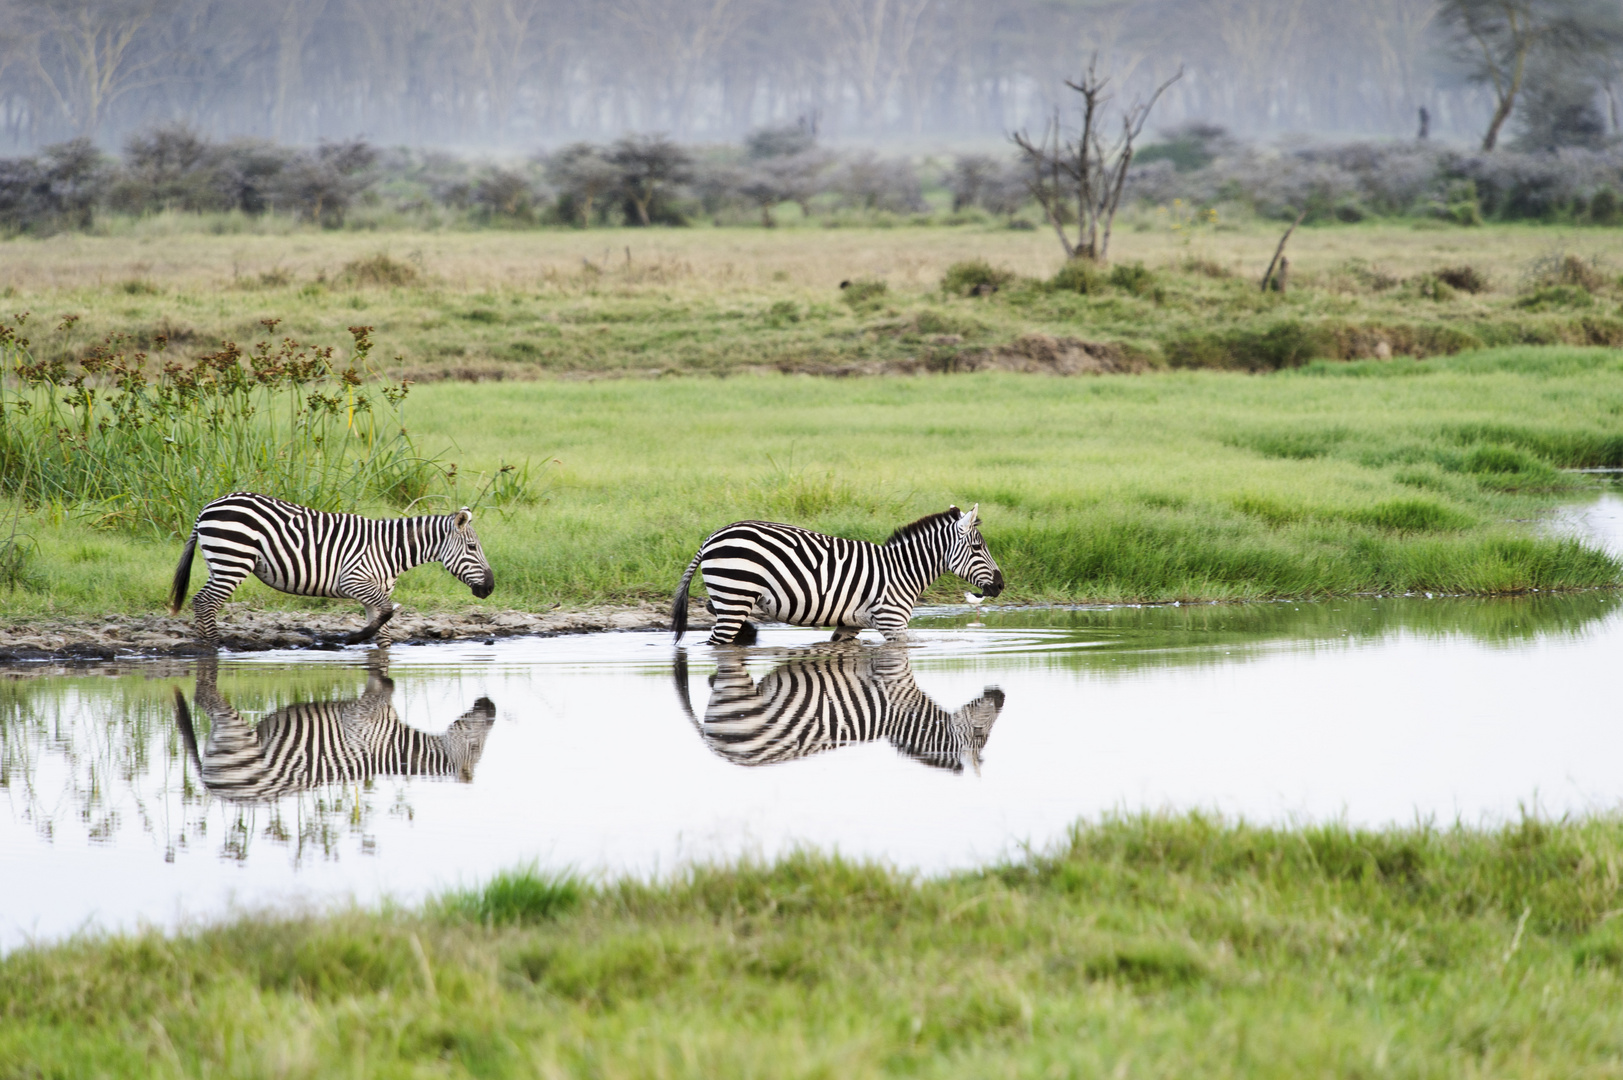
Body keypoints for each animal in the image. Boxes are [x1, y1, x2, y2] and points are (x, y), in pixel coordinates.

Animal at [168, 490, 493, 649]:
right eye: (472, 548)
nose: (490, 588)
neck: (390, 550)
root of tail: (208, 506)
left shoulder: (375, 592)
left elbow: (385, 632)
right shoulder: (354, 580)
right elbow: (389, 611)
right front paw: (349, 639)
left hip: (222, 561)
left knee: (202, 602)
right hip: (233, 559)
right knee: (205, 602)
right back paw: (214, 647)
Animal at [671, 503, 999, 643]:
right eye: (977, 547)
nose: (1000, 585)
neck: (902, 570)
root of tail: (711, 537)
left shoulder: (850, 624)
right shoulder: (893, 622)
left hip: (732, 596)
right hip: (735, 594)